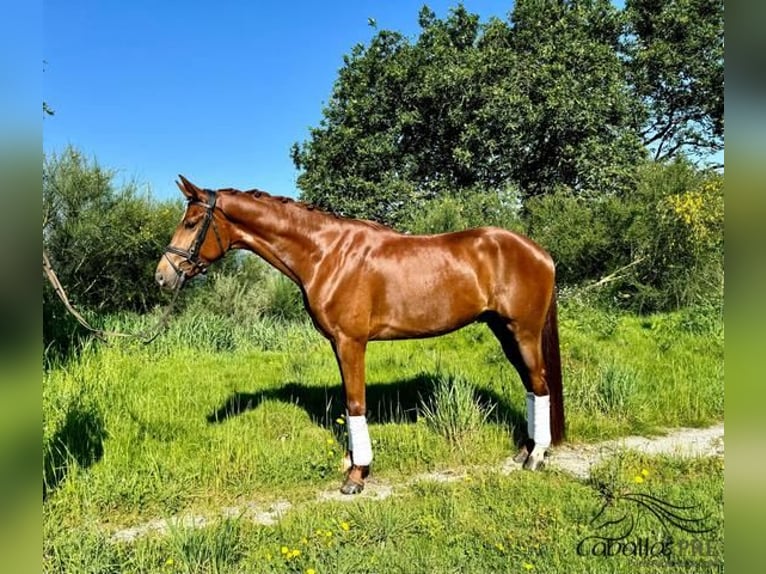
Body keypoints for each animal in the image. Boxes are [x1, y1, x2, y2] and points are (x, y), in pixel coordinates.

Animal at [158, 177, 564, 496]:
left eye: (191, 223)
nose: (163, 275)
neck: (326, 254)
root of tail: (541, 252)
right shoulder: (339, 345)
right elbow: (347, 402)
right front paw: (351, 462)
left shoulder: (350, 342)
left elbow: (355, 404)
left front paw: (357, 475)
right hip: (504, 331)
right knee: (530, 385)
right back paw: (525, 450)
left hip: (523, 332)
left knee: (539, 384)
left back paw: (536, 456)